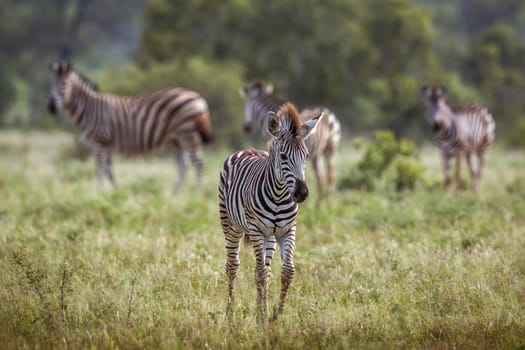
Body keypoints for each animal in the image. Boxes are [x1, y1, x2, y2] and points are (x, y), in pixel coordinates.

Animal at [47, 60, 213, 191]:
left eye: (64, 85)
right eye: (51, 86)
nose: (51, 108)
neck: (89, 109)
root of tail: (198, 97)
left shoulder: (100, 141)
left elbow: (100, 169)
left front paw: (99, 192)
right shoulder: (106, 145)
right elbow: (109, 170)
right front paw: (115, 192)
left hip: (188, 132)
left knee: (198, 161)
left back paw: (197, 192)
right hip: (177, 139)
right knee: (183, 166)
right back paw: (175, 194)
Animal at [218, 102, 324, 322]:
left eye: (306, 156)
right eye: (283, 157)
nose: (302, 193)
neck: (278, 195)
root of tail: (247, 149)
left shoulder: (287, 230)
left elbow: (287, 271)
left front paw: (274, 315)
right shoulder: (256, 230)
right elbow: (259, 273)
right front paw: (264, 316)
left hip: (270, 236)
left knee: (265, 270)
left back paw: (261, 311)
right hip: (232, 226)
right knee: (233, 266)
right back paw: (230, 315)